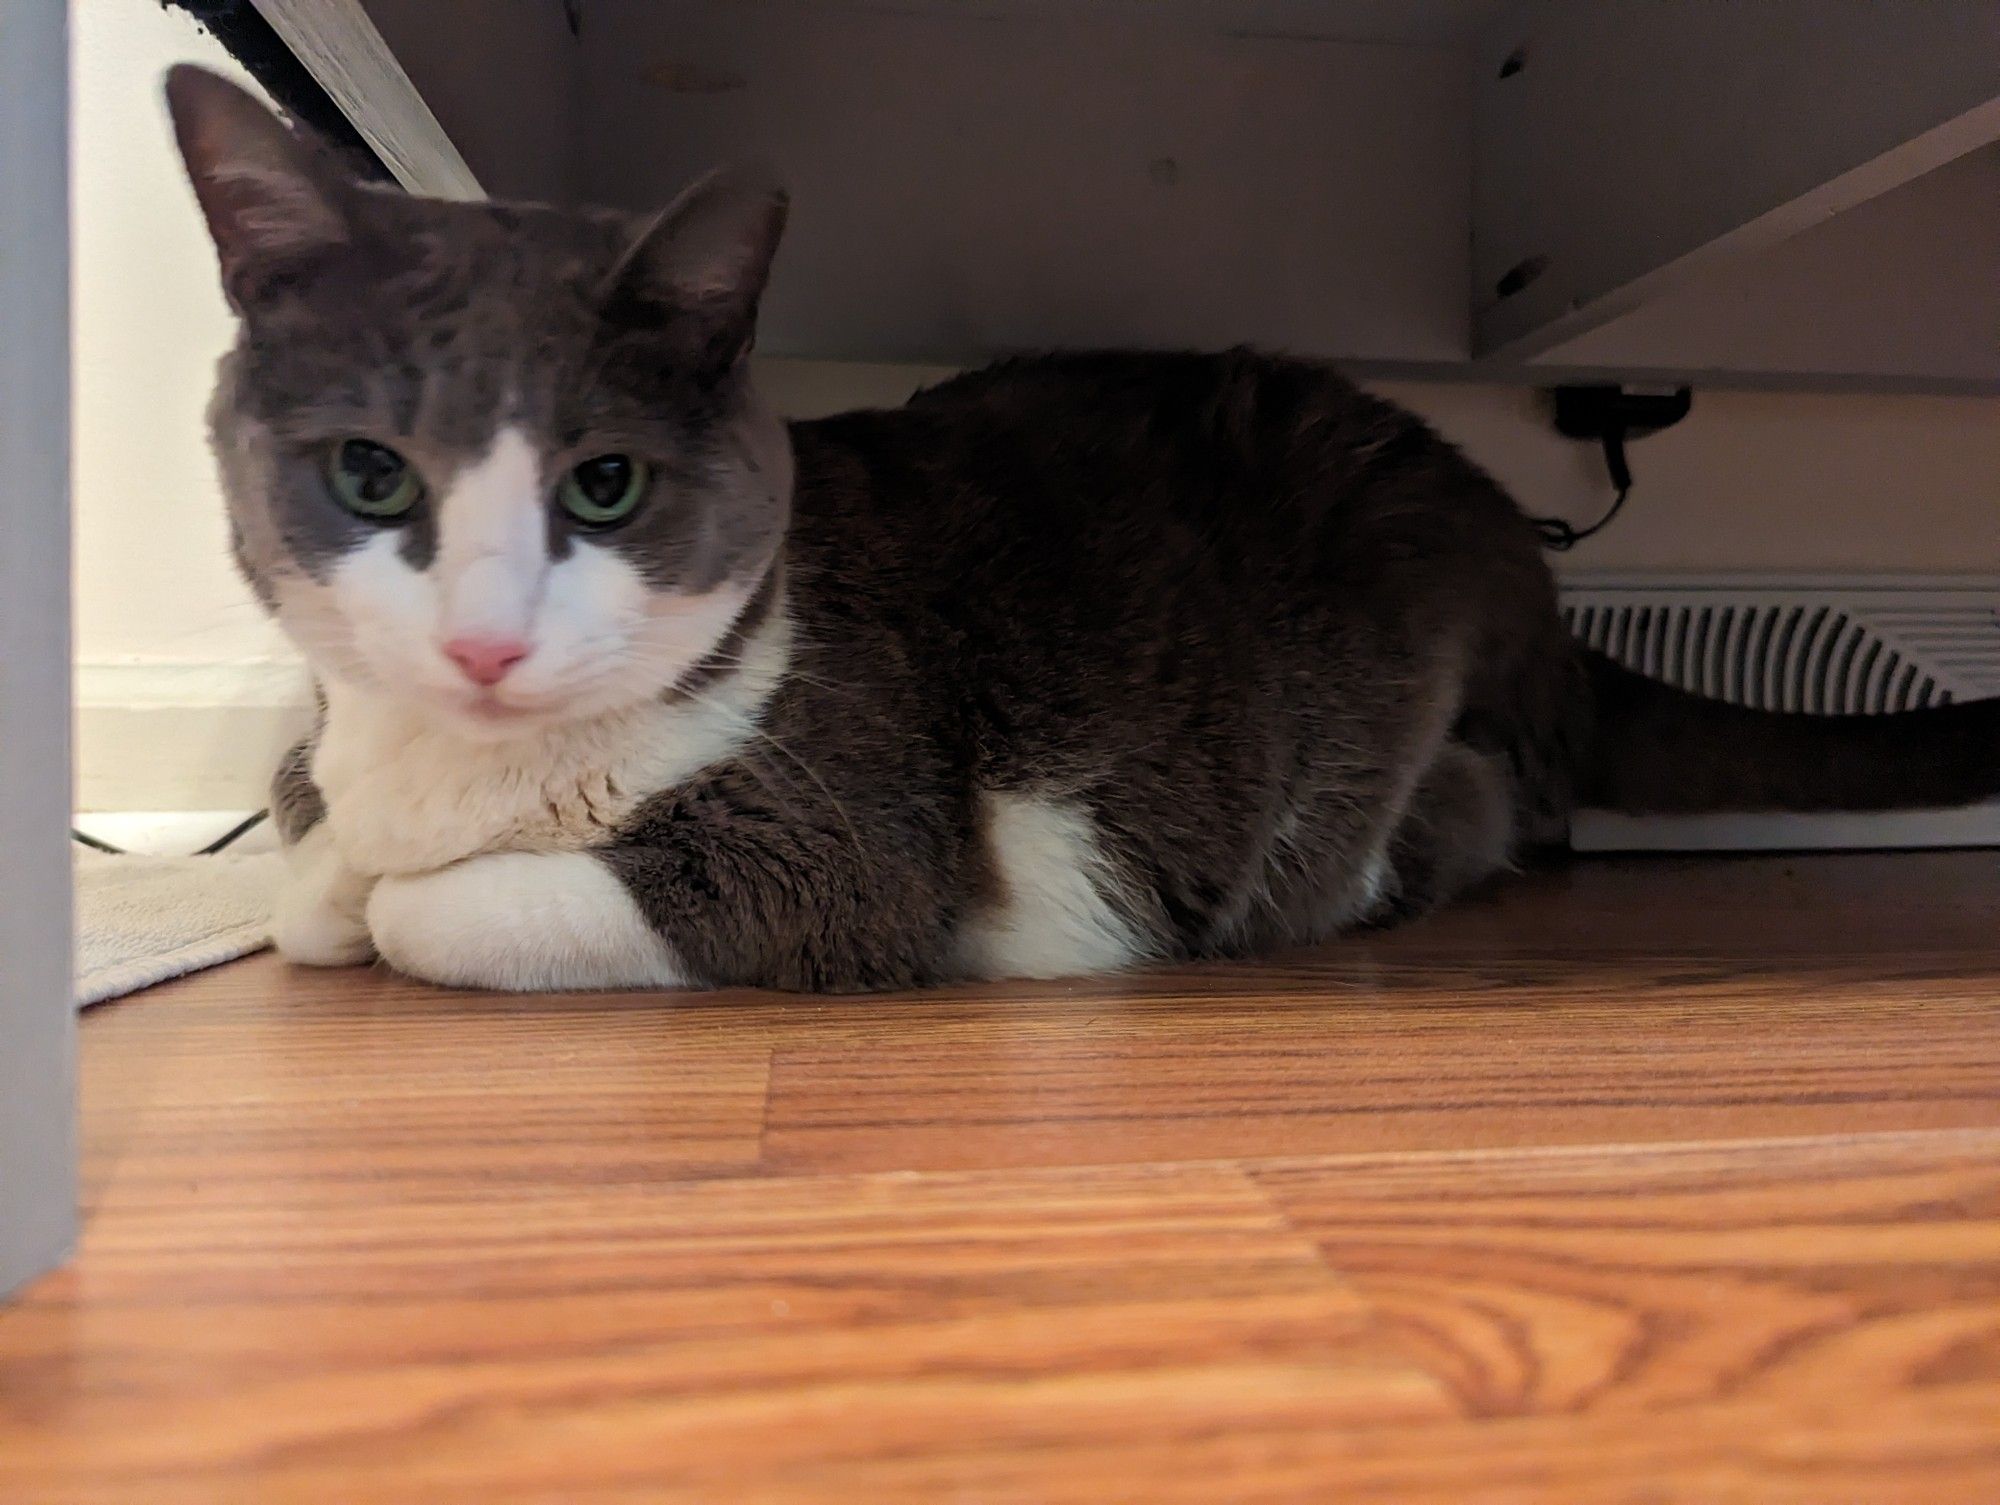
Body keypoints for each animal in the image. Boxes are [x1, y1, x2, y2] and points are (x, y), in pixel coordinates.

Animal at [168, 64, 2000, 992]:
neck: (446, 770)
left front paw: (382, 898)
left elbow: (425, 911)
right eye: (370, 474)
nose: (483, 640)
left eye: (603, 485)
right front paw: (317, 867)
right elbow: (303, 866)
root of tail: (1511, 553)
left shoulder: (845, 838)